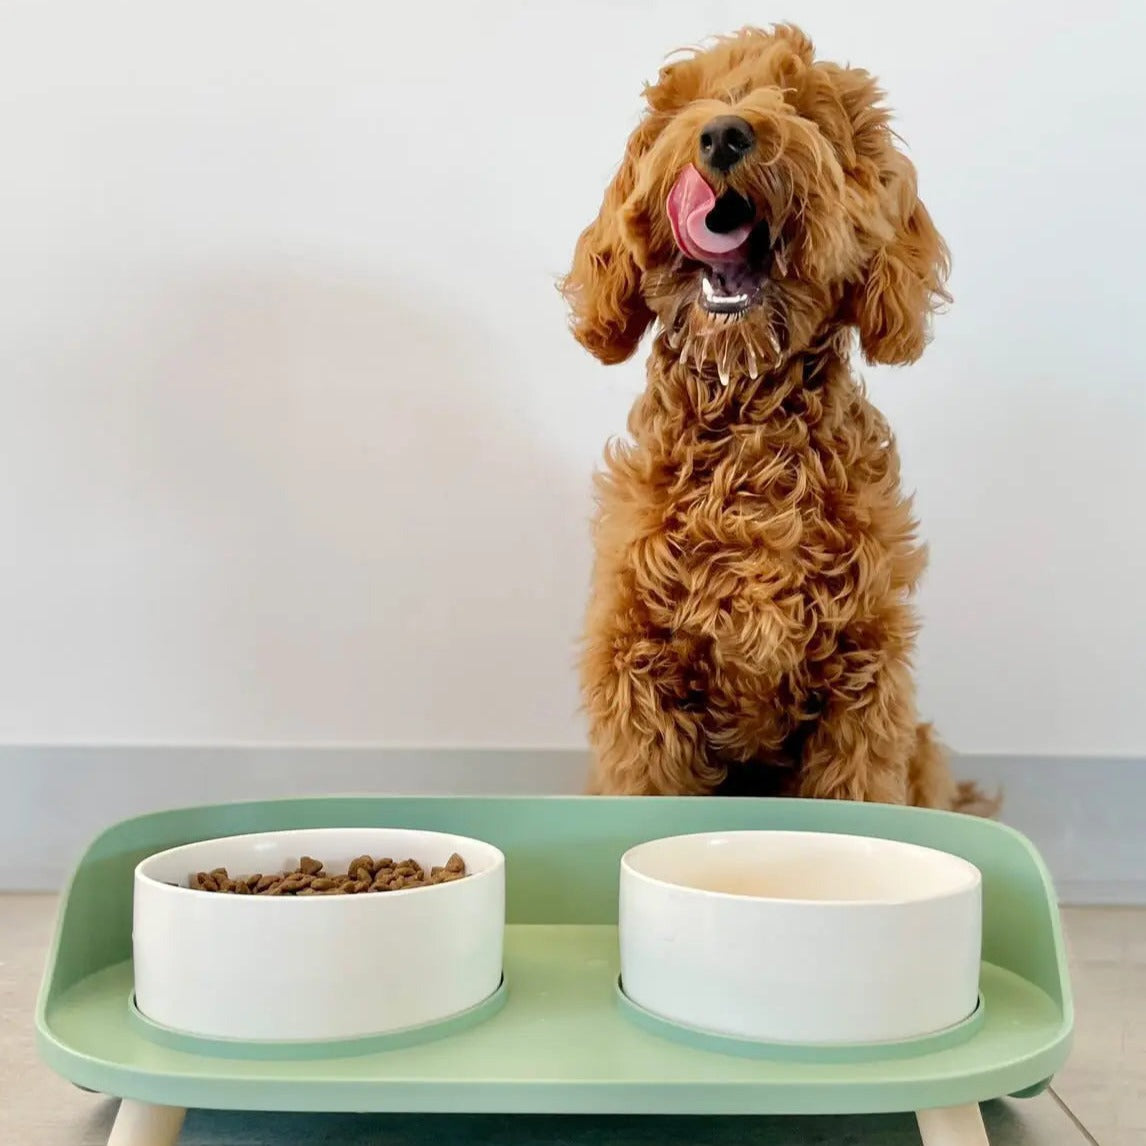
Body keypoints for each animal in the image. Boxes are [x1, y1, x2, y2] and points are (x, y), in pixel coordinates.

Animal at [563, 24, 985, 815]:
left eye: (804, 109)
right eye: (684, 105)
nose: (724, 133)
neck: (749, 429)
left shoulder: (863, 689)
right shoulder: (639, 680)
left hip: (919, 747)